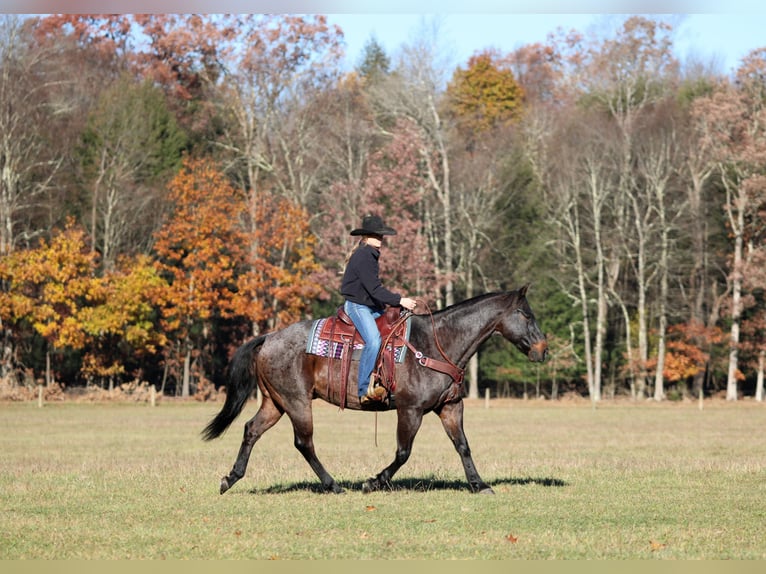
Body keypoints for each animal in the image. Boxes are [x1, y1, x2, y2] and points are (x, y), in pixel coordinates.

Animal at [202, 285, 548, 495]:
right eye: (526, 314)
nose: (543, 350)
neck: (435, 344)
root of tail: (269, 337)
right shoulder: (410, 410)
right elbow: (403, 452)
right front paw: (374, 481)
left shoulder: (450, 407)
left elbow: (463, 446)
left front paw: (478, 484)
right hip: (297, 402)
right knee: (304, 442)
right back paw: (333, 485)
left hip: (275, 403)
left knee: (251, 430)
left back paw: (230, 478)